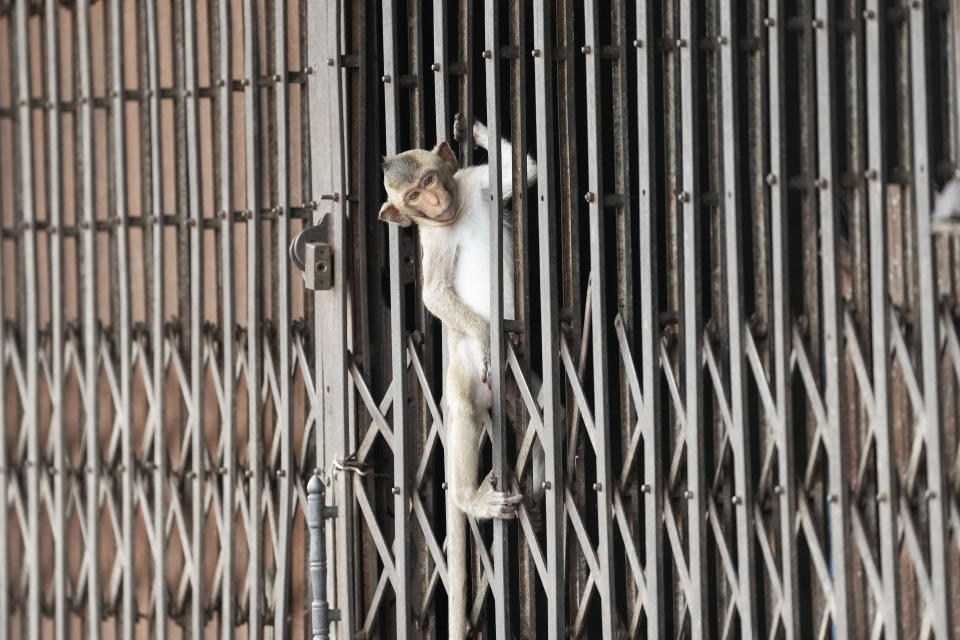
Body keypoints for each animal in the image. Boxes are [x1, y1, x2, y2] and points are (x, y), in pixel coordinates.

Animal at [378, 115, 536, 640]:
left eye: (429, 180)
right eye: (411, 197)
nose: (430, 203)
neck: (457, 210)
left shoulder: (474, 183)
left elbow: (521, 170)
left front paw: (477, 130)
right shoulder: (431, 242)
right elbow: (433, 295)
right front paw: (489, 334)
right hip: (463, 371)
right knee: (465, 410)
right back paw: (470, 500)